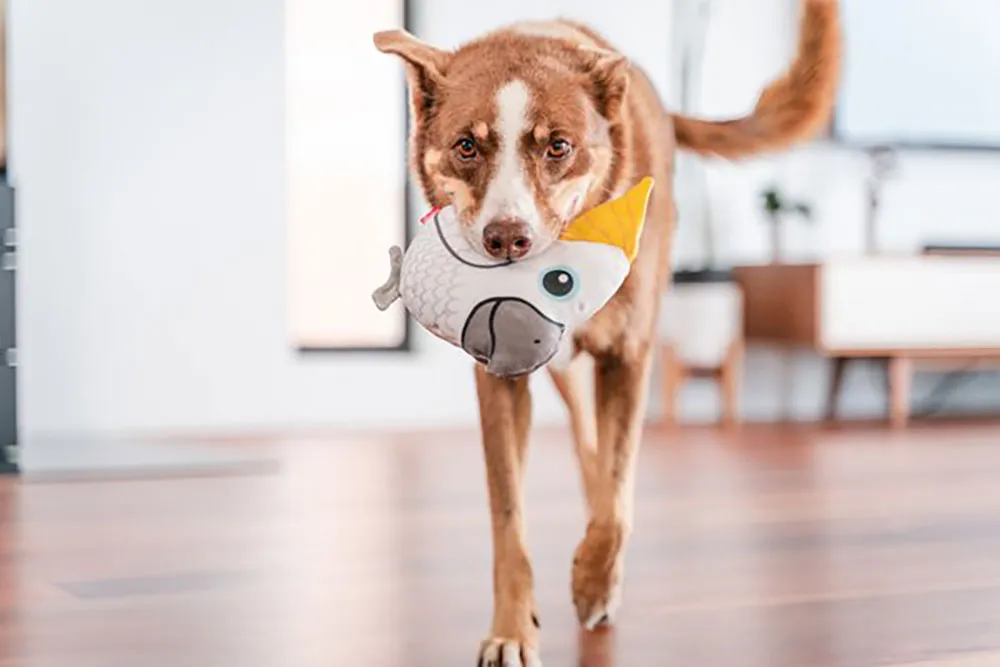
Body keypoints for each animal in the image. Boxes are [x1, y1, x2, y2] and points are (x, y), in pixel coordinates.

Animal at [372, 2, 840, 664]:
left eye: (558, 147)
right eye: (466, 146)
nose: (506, 238)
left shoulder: (630, 356)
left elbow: (619, 495)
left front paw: (595, 583)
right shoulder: (501, 381)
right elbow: (509, 517)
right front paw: (512, 628)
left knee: (606, 474)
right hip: (564, 373)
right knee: (586, 449)